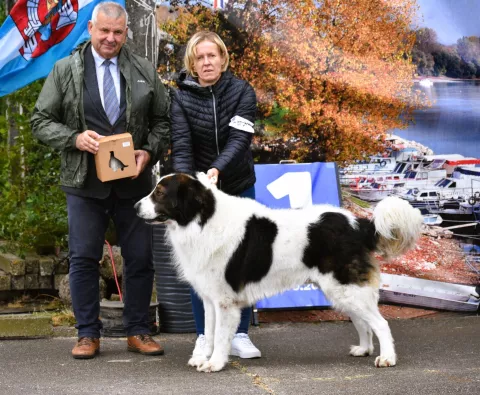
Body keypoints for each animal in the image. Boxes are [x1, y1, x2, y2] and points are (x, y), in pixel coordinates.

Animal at [134, 172, 420, 372]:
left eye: (159, 192)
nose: (135, 207)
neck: (202, 220)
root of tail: (358, 224)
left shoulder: (225, 301)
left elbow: (221, 336)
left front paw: (214, 363)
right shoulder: (209, 298)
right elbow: (210, 331)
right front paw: (204, 357)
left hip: (346, 287)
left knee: (380, 323)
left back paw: (387, 358)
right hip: (341, 290)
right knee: (363, 321)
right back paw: (364, 349)